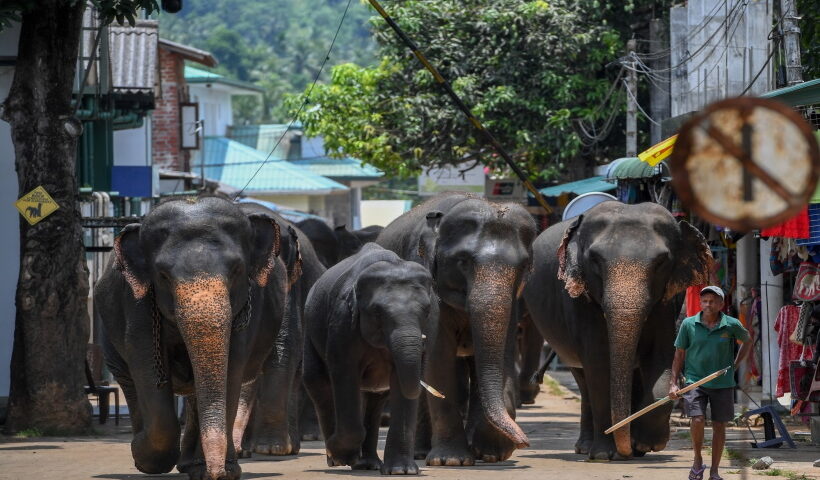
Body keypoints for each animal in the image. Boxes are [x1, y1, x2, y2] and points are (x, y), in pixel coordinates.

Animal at [94, 195, 287, 480]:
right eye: (162, 275)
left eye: (236, 270)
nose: (217, 474)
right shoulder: (136, 304)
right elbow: (147, 369)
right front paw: (146, 457)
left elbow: (231, 372)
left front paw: (222, 471)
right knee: (129, 379)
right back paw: (143, 451)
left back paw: (190, 465)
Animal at [303, 243, 438, 475]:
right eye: (377, 312)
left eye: (427, 311)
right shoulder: (342, 323)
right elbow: (345, 375)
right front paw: (341, 454)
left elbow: (402, 384)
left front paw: (402, 471)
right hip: (310, 330)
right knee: (319, 383)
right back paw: (337, 458)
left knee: (375, 399)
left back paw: (367, 464)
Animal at [377, 192, 537, 466]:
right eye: (463, 261)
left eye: (524, 266)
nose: (524, 442)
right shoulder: (428, 284)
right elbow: (439, 360)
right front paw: (451, 460)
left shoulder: (514, 301)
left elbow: (503, 356)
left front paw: (492, 453)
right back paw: (422, 452)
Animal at [523, 201, 711, 460]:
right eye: (594, 260)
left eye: (661, 262)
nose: (626, 451)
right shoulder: (581, 301)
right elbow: (599, 365)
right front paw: (605, 454)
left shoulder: (666, 304)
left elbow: (662, 358)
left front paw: (648, 444)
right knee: (583, 378)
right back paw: (587, 448)